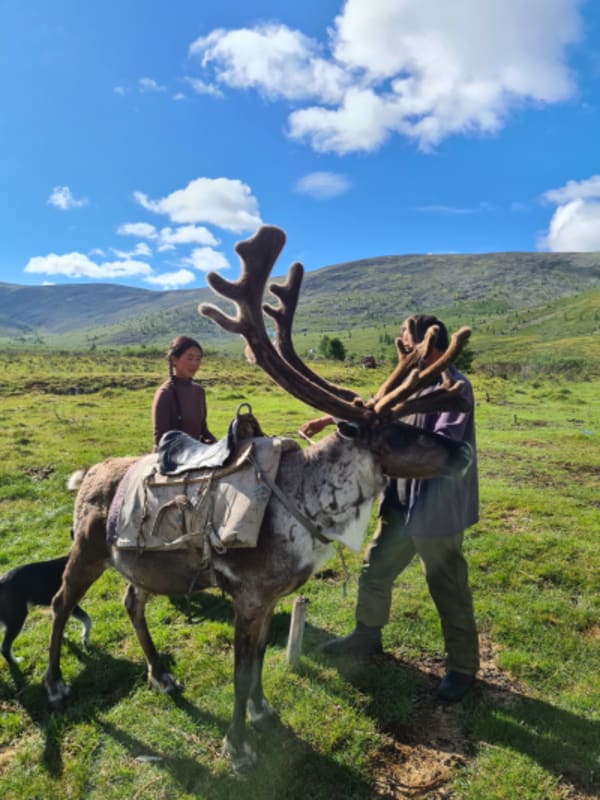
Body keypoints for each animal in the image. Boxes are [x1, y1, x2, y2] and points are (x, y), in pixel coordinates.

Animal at [43, 225, 474, 775]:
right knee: (60, 602)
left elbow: (261, 662)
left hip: (137, 561)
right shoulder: (247, 595)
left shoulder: (271, 597)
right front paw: (239, 745)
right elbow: (241, 670)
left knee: (130, 600)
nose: (463, 451)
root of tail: (88, 474)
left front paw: (264, 711)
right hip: (87, 549)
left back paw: (160, 674)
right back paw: (56, 684)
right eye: (398, 433)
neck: (307, 506)